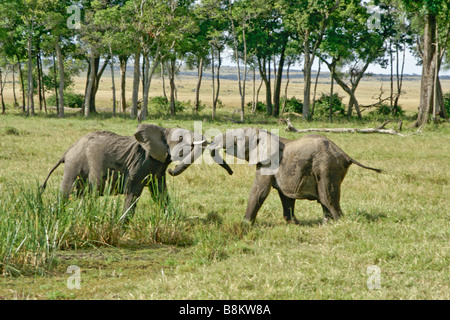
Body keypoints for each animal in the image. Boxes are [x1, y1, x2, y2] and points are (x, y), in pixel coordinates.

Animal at [39, 124, 232, 221]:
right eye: (180, 139)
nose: (172, 170)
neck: (162, 131)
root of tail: (66, 152)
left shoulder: (158, 165)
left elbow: (160, 193)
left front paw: (172, 219)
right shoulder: (140, 163)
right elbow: (133, 191)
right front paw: (122, 225)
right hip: (75, 165)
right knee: (68, 193)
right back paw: (56, 216)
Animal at [178, 126, 382, 224]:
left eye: (235, 141)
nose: (230, 171)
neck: (264, 133)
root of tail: (345, 154)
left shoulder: (268, 163)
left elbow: (259, 191)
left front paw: (245, 224)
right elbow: (285, 196)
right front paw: (292, 223)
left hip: (327, 167)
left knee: (327, 197)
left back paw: (338, 223)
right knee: (325, 199)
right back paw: (327, 223)